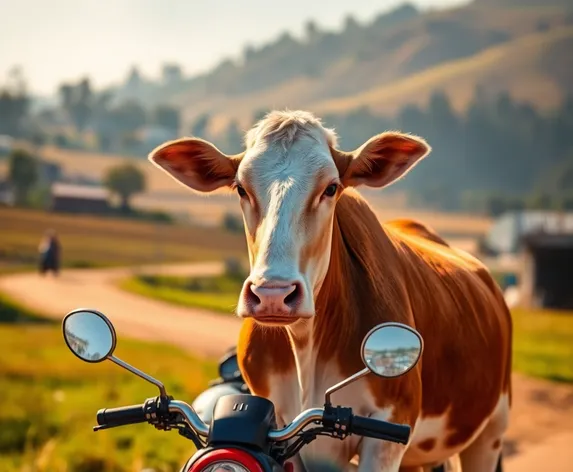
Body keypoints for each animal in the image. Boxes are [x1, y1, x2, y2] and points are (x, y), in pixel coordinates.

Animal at [147, 109, 510, 472]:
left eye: (331, 188)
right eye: (240, 188)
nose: (273, 295)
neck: (307, 349)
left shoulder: (387, 433)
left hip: (489, 433)